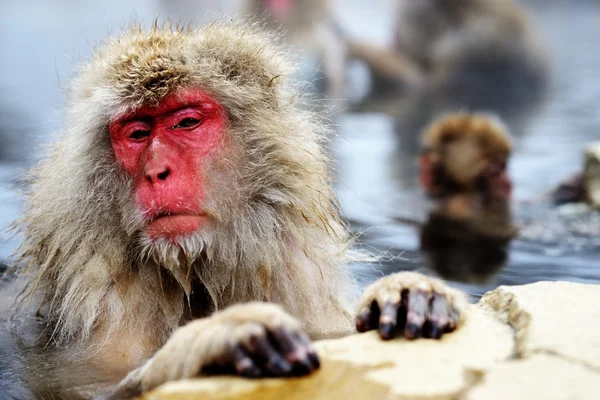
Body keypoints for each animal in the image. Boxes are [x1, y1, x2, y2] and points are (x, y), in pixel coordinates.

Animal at [0, 22, 466, 400]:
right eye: (137, 133)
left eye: (186, 122)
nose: (156, 172)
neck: (192, 269)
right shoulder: (105, 295)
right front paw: (218, 336)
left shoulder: (291, 266)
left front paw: (407, 292)